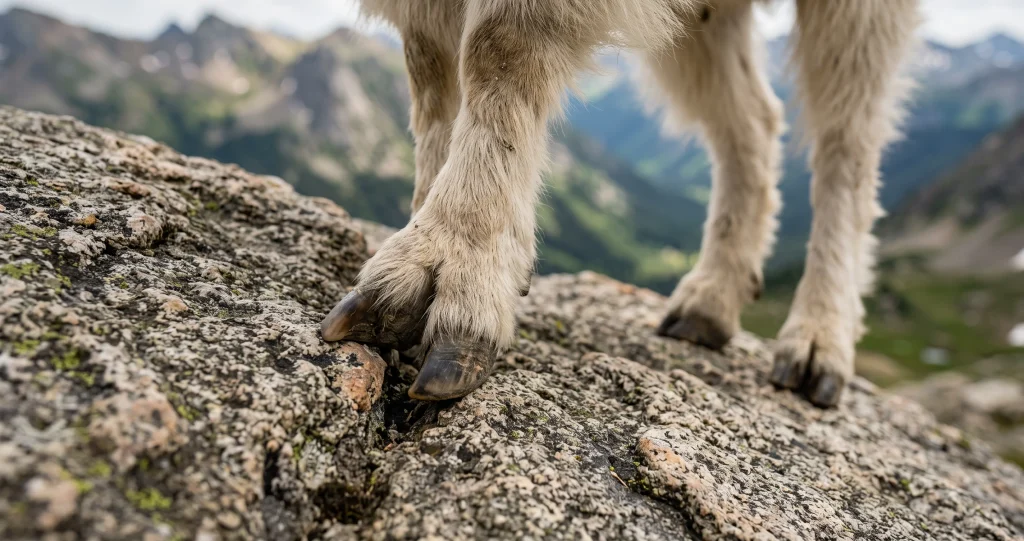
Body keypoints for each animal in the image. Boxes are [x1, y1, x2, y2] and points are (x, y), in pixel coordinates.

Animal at [320, 0, 920, 407]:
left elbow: (500, 45)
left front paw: (455, 264)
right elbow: (432, 77)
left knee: (847, 139)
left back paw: (818, 339)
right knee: (751, 118)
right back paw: (711, 299)